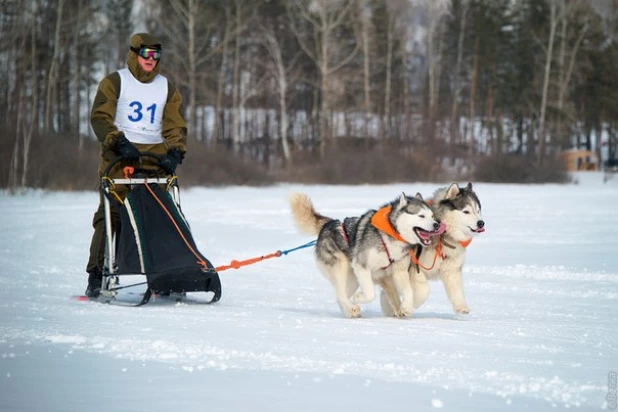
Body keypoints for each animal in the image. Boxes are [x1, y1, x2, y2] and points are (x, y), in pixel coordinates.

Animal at [288, 193, 442, 318]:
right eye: (421, 216)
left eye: (432, 216)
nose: (436, 225)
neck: (391, 233)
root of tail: (329, 223)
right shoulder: (362, 267)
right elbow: (370, 294)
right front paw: (359, 298)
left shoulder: (399, 271)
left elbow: (408, 291)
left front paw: (406, 308)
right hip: (341, 268)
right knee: (340, 293)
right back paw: (351, 308)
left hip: (353, 280)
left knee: (340, 294)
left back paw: (350, 310)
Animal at [378, 183, 484, 316]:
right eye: (466, 211)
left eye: (478, 211)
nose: (481, 223)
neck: (443, 234)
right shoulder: (415, 267)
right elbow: (423, 291)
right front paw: (408, 306)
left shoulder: (451, 268)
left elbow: (456, 289)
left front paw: (461, 306)